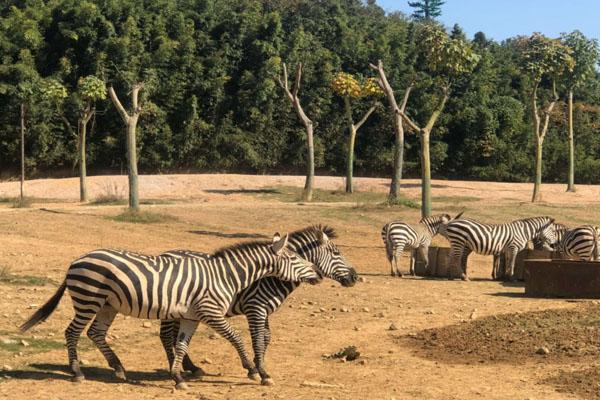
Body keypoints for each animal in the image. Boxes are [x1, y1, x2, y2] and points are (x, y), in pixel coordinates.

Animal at [18, 233, 322, 390]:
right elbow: (236, 338)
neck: (226, 276)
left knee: (95, 333)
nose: (318, 274)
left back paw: (118, 368)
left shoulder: (190, 316)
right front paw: (253, 370)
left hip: (107, 305)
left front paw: (178, 378)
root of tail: (77, 259)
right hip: (88, 298)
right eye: (294, 258)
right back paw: (77, 372)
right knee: (72, 332)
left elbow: (181, 345)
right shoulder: (210, 312)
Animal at [158, 225, 356, 384]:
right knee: (166, 336)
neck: (272, 277)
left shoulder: (264, 310)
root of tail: (165, 253)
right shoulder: (255, 308)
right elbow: (258, 340)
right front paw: (259, 371)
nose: (355, 276)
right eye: (336, 253)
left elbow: (265, 337)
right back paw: (175, 369)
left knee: (174, 336)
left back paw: (190, 367)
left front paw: (255, 364)